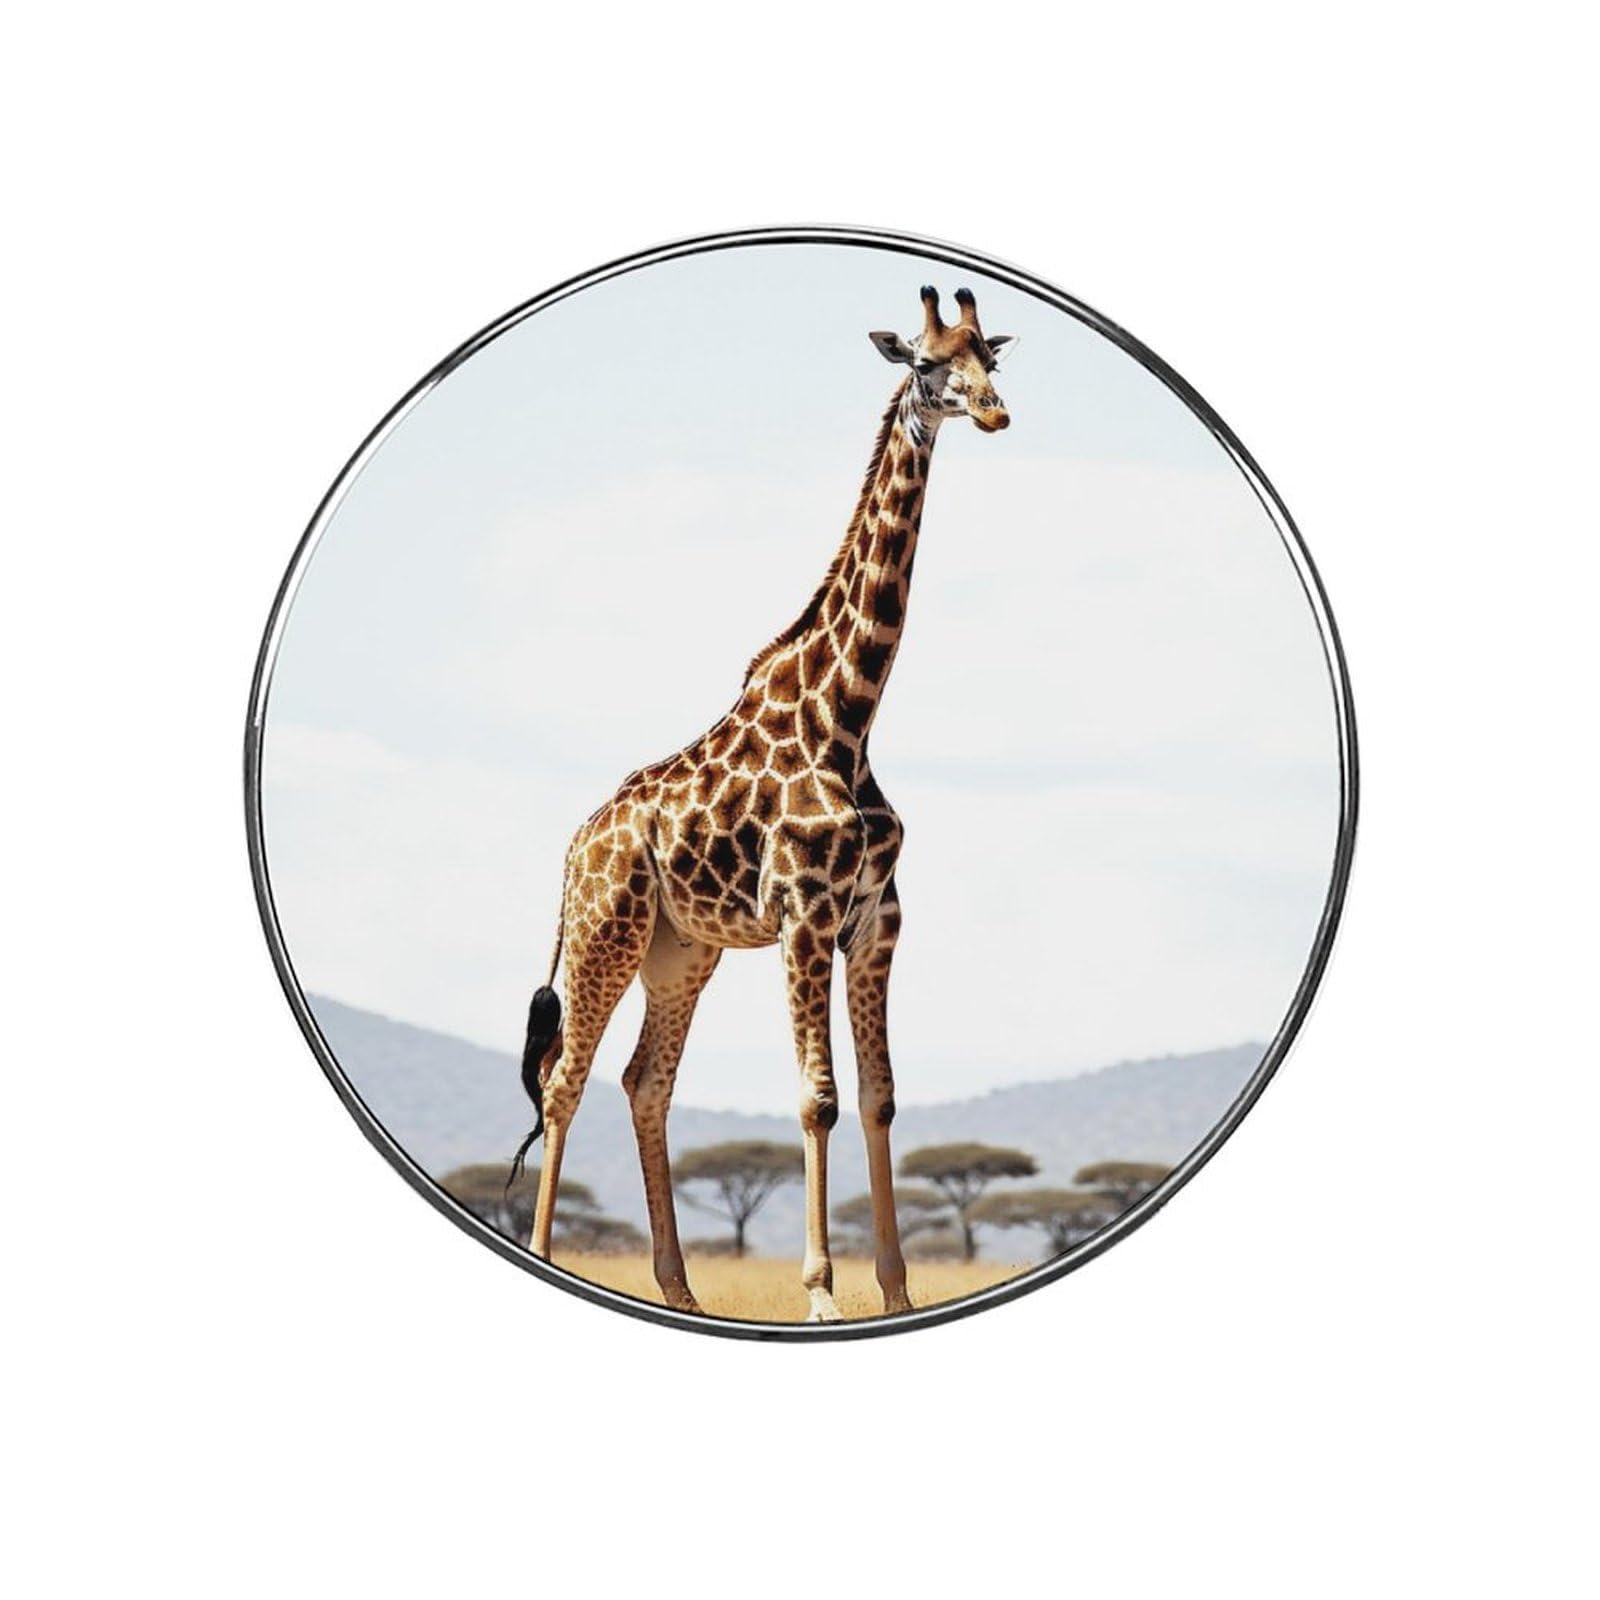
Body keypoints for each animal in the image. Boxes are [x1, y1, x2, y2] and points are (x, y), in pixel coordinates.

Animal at [511, 284, 1016, 1322]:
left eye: (990, 357)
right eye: (927, 365)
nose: (994, 412)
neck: (849, 712)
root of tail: (575, 848)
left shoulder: (877, 918)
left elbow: (880, 1096)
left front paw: (895, 1294)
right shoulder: (804, 915)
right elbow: (817, 1096)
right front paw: (822, 1296)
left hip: (681, 949)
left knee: (644, 1081)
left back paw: (682, 1290)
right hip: (606, 932)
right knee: (564, 1079)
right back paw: (554, 1260)